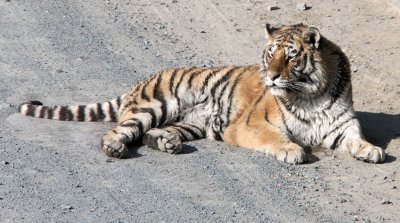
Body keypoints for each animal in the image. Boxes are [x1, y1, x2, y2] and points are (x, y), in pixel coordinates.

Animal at [18, 23, 384, 164]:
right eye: (271, 53)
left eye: (292, 56)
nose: (272, 76)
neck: (311, 94)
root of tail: (139, 83)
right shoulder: (252, 124)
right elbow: (276, 138)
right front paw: (292, 151)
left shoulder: (342, 125)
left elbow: (357, 139)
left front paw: (373, 151)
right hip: (155, 105)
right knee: (120, 130)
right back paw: (115, 149)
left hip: (191, 122)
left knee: (151, 134)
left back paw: (167, 143)